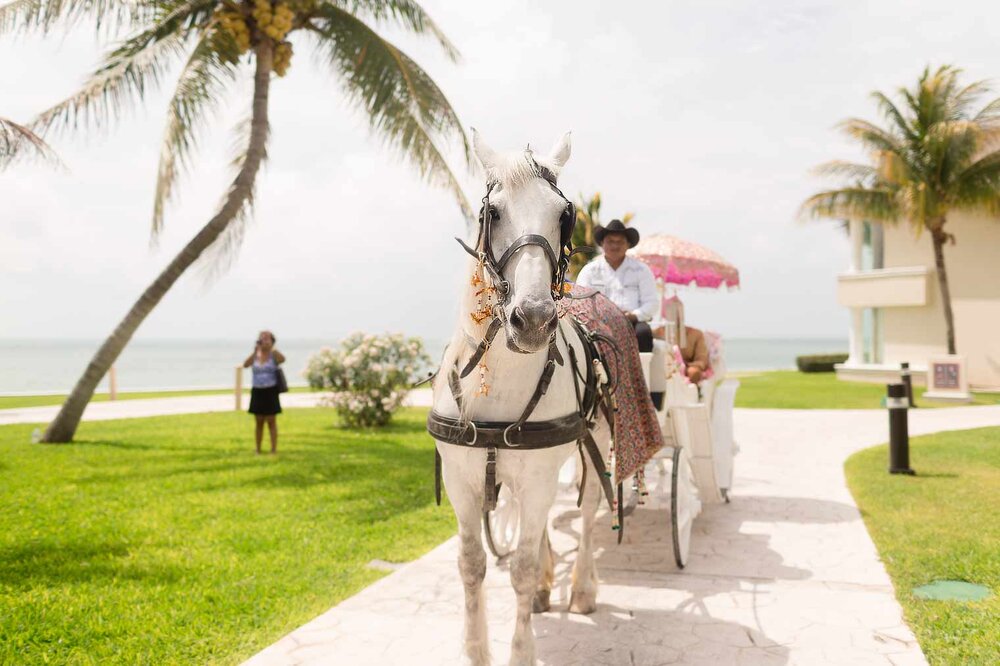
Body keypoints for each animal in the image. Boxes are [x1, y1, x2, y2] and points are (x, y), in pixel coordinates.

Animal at [428, 131, 608, 664]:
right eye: (493, 212)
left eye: (564, 214)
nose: (532, 319)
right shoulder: (461, 479)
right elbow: (471, 563)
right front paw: (475, 649)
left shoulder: (541, 475)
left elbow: (522, 569)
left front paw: (521, 650)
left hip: (593, 444)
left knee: (588, 511)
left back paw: (581, 587)